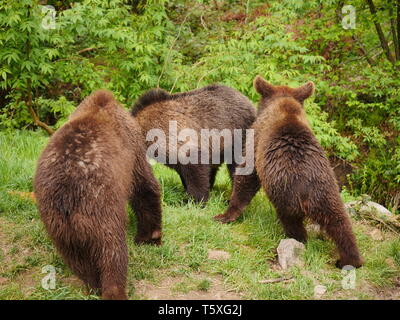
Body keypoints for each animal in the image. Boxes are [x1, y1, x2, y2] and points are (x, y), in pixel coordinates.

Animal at [32, 90, 161, 300]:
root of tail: (67, 193)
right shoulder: (132, 148)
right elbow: (145, 187)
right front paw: (149, 237)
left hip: (58, 223)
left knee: (79, 259)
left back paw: (93, 285)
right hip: (101, 208)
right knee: (112, 251)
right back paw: (114, 290)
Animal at [214, 75, 364, 268]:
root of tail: (309, 191)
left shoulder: (257, 141)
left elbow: (247, 175)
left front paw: (227, 212)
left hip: (286, 194)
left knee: (292, 223)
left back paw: (293, 240)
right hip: (329, 190)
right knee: (341, 223)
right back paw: (349, 259)